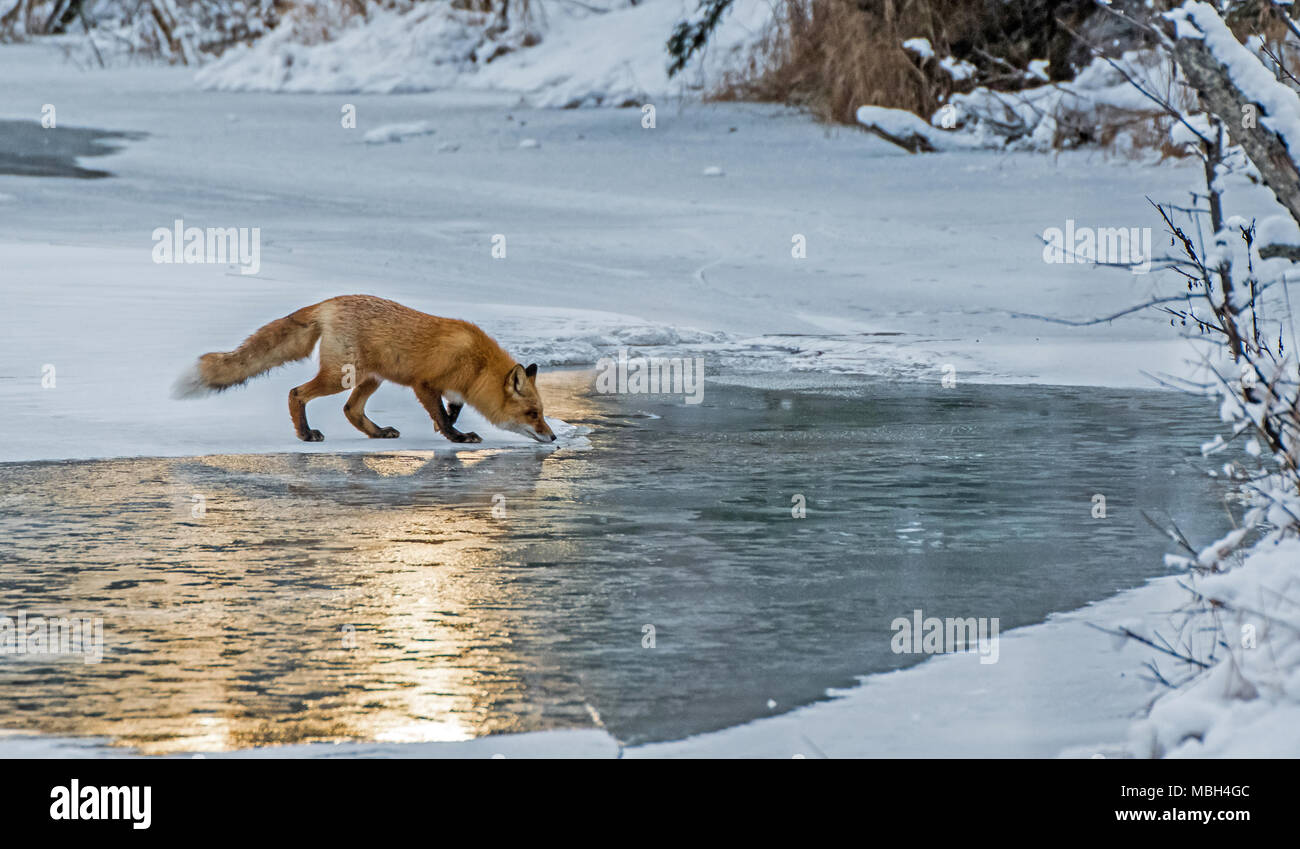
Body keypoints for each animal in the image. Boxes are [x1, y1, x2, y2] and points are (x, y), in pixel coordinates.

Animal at [171, 295, 553, 444]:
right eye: (533, 414)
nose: (553, 437)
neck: (476, 363)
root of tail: (327, 303)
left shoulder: (453, 389)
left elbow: (451, 410)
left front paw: (449, 427)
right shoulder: (424, 383)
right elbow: (443, 417)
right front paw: (455, 437)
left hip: (370, 378)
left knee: (351, 410)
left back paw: (378, 432)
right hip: (343, 376)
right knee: (297, 393)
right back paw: (305, 434)